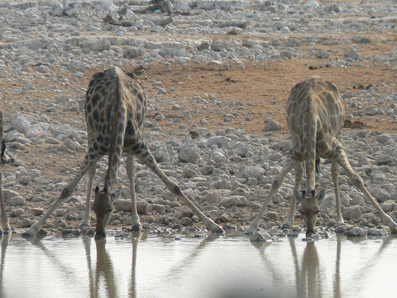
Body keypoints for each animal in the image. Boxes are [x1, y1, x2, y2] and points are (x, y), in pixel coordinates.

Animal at [22, 66, 223, 239]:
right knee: (93, 169)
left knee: (129, 169)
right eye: (94, 208)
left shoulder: (141, 147)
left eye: (111, 209)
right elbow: (67, 190)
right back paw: (85, 222)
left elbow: (174, 186)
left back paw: (136, 222)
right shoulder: (97, 148)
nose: (99, 234)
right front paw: (33, 229)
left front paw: (214, 225)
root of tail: (114, 68)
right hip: (89, 128)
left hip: (133, 141)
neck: (119, 116)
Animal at [244, 75, 396, 236]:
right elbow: (276, 181)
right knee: (300, 173)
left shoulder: (337, 149)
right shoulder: (294, 153)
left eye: (318, 211)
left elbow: (356, 179)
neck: (311, 123)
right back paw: (288, 221)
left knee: (335, 172)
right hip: (293, 137)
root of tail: (315, 77)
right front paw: (252, 227)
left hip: (340, 131)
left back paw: (339, 219)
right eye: (301, 212)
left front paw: (391, 223)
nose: (310, 231)